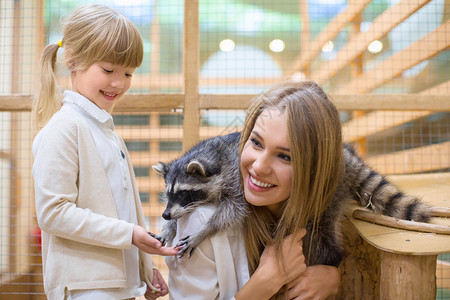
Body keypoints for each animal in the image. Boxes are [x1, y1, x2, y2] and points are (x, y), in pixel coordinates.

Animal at [153, 132, 430, 264]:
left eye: (185, 193)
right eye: (169, 194)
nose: (166, 214)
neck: (214, 157)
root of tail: (344, 155)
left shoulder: (238, 181)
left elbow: (233, 211)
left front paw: (206, 230)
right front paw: (169, 227)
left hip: (330, 191)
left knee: (323, 230)